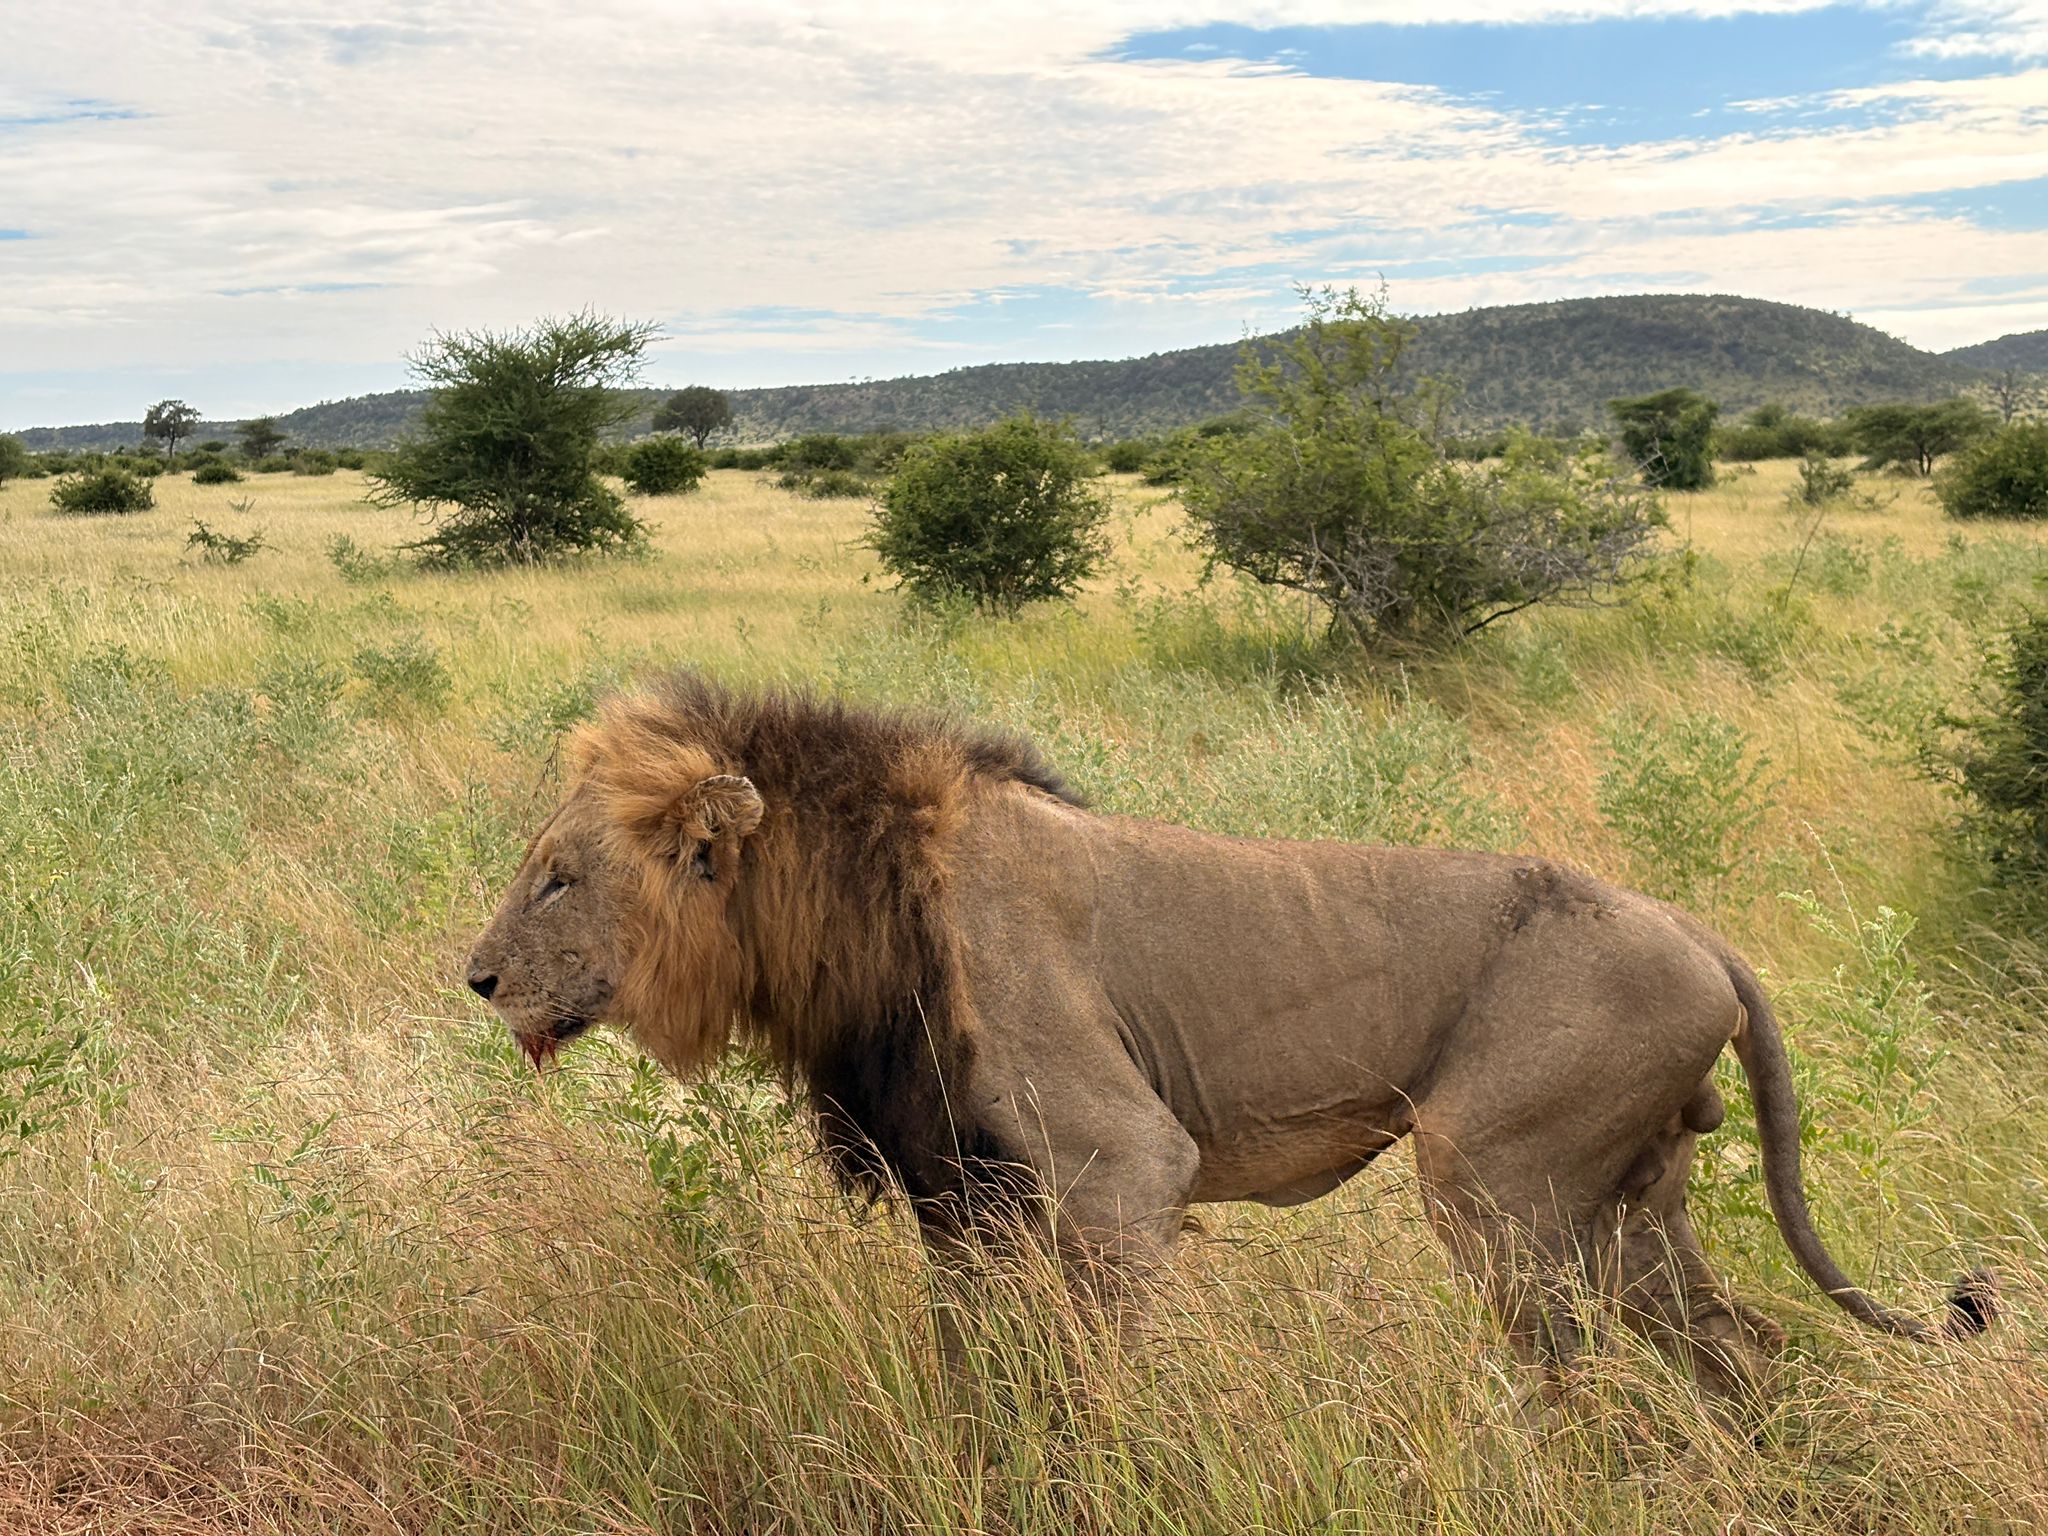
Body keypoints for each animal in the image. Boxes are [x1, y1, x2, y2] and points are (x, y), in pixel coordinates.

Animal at [465, 673, 1994, 1401]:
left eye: (557, 877)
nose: (475, 981)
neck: (847, 915)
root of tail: (1698, 930)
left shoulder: (1122, 1168)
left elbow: (1096, 1375)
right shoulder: (965, 1198)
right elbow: (979, 1369)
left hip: (1496, 1177)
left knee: (1580, 1377)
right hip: (1626, 1202)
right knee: (1743, 1349)